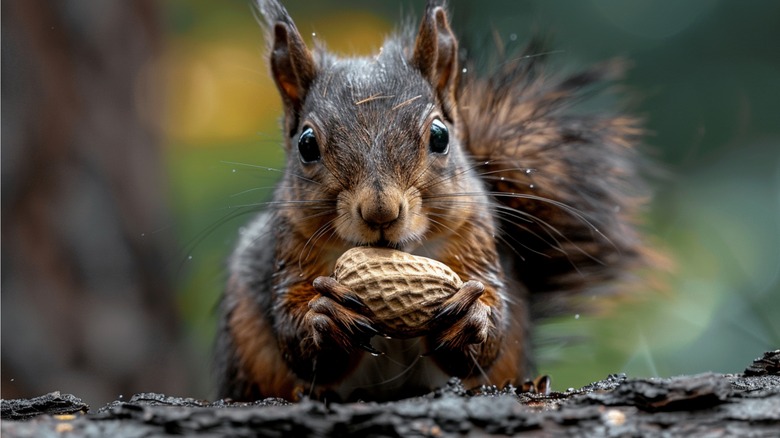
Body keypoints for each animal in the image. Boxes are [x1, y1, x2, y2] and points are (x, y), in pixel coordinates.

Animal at [213, 0, 652, 402]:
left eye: (440, 136)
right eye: (306, 144)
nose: (381, 211)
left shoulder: (474, 240)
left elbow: (487, 336)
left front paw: (472, 319)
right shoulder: (291, 252)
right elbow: (293, 333)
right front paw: (325, 317)